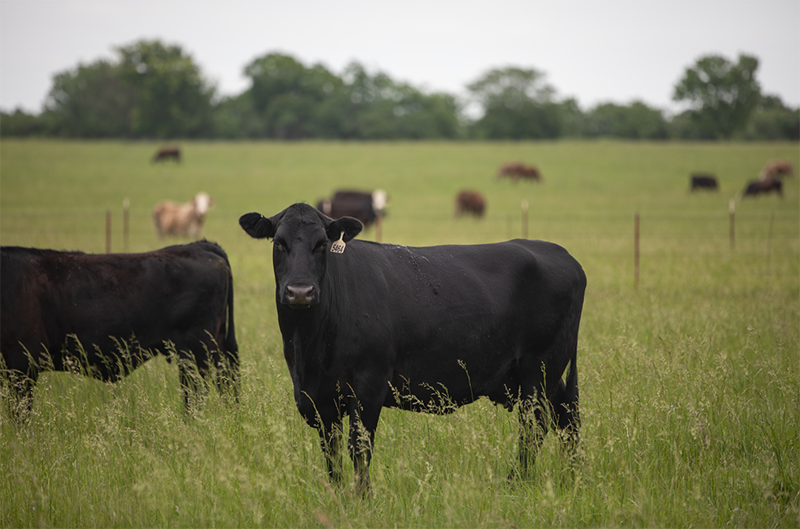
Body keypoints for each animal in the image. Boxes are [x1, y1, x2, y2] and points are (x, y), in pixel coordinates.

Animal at [239, 203, 586, 494]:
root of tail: (556, 251)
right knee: (565, 415)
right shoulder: (319, 397)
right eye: (278, 243)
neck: (308, 350)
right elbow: (331, 451)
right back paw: (570, 477)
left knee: (534, 426)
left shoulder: (370, 384)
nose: (300, 291)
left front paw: (362, 499)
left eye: (322, 244)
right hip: (536, 374)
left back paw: (515, 483)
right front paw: (335, 494)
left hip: (540, 369)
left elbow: (359, 447)